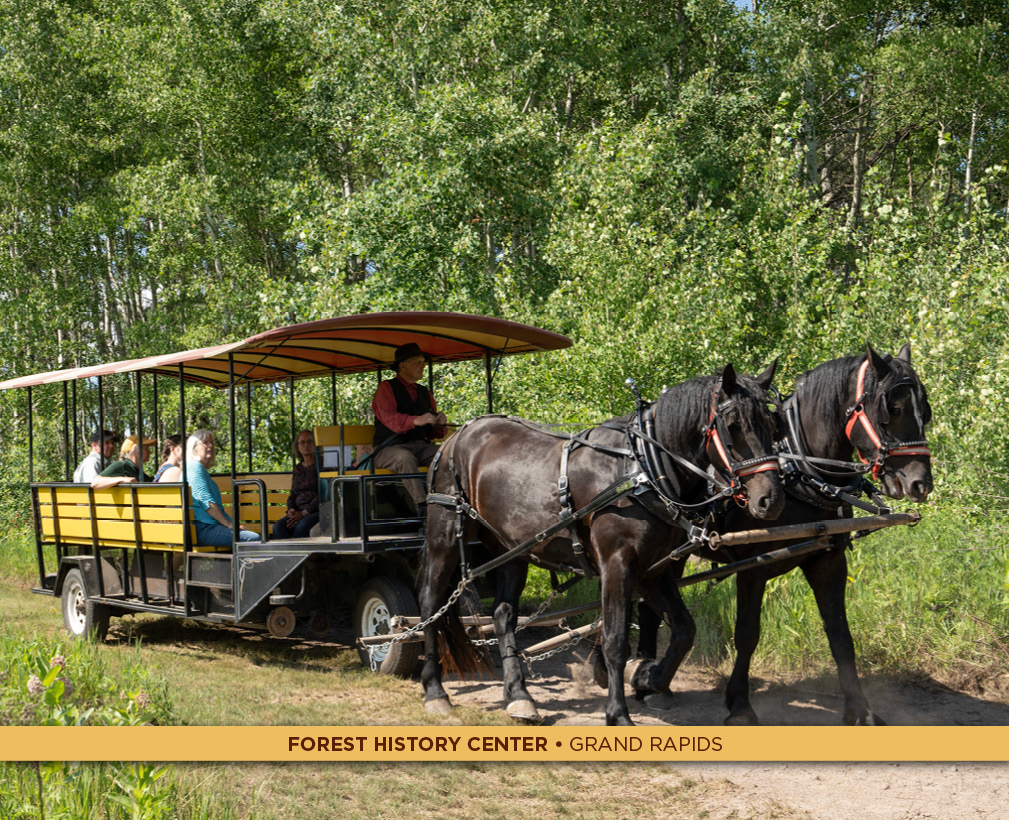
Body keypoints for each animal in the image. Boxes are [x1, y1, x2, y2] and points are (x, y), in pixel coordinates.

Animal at [417, 361, 787, 726]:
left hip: (510, 549)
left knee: (503, 615)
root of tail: (458, 435)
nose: (770, 500)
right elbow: (616, 641)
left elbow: (685, 629)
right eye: (733, 426)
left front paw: (650, 680)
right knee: (430, 604)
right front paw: (619, 713)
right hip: (445, 537)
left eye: (774, 425)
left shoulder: (653, 572)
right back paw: (435, 691)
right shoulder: (617, 565)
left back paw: (519, 695)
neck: (641, 469)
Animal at [629, 342, 928, 726]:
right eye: (893, 409)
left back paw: (654, 681)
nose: (921, 482)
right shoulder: (753, 565)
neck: (797, 472)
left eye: (926, 411)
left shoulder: (828, 560)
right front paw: (740, 705)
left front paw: (860, 711)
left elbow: (840, 635)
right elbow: (747, 633)